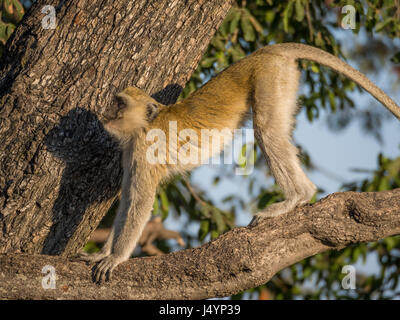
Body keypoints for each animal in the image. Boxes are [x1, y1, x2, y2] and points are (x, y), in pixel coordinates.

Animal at [79, 42, 400, 282]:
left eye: (119, 104)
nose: (106, 112)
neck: (144, 126)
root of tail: (262, 53)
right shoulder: (131, 151)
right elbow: (128, 200)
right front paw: (102, 253)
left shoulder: (144, 151)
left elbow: (140, 202)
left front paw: (115, 257)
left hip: (271, 77)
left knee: (266, 129)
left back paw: (297, 196)